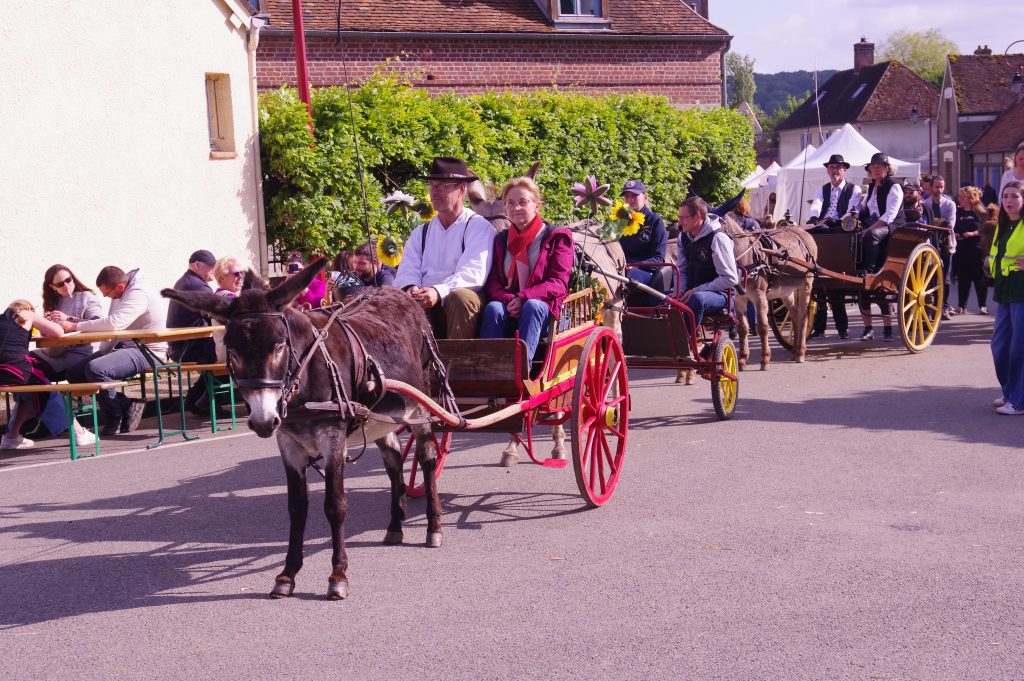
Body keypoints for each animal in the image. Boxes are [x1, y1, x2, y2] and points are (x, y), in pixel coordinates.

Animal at [161, 260, 443, 600]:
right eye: (232, 350)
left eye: (279, 345)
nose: (263, 420)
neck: (303, 379)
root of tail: (401, 294)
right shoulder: (288, 444)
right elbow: (296, 508)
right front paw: (286, 576)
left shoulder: (333, 440)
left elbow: (335, 506)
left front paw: (337, 576)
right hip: (381, 417)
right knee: (393, 460)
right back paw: (395, 527)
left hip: (420, 407)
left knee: (426, 458)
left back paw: (433, 528)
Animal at [723, 216, 818, 370]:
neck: (748, 257)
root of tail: (804, 232)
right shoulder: (739, 299)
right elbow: (742, 328)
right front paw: (742, 360)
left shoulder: (759, 296)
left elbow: (763, 326)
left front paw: (765, 359)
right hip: (786, 291)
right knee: (794, 315)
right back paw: (795, 351)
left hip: (806, 285)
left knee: (803, 317)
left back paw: (801, 353)